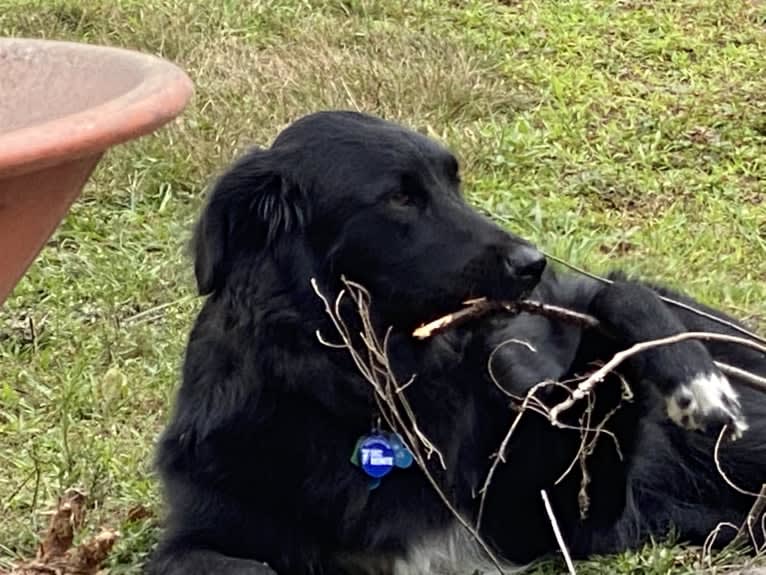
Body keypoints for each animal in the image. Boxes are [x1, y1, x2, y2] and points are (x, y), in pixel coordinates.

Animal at [150, 110, 766, 572]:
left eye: (454, 184)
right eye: (400, 199)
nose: (533, 265)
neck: (373, 387)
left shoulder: (547, 522)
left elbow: (617, 294)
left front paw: (695, 380)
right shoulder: (198, 530)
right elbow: (234, 561)